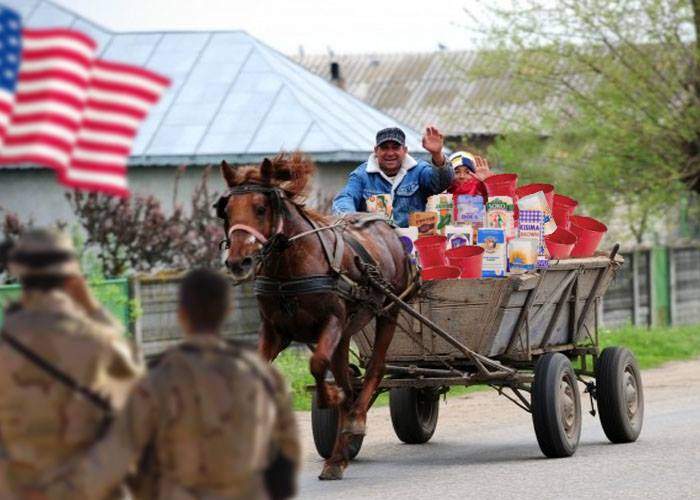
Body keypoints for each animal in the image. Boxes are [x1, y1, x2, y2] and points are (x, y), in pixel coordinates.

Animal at [217, 153, 416, 480]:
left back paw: (354, 422)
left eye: (260, 208)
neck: (290, 267)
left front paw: (331, 399)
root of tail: (386, 227)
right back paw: (339, 454)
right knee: (348, 379)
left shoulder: (331, 322)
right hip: (348, 332)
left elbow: (317, 364)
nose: (238, 262)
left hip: (388, 311)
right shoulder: (274, 331)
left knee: (375, 368)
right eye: (227, 211)